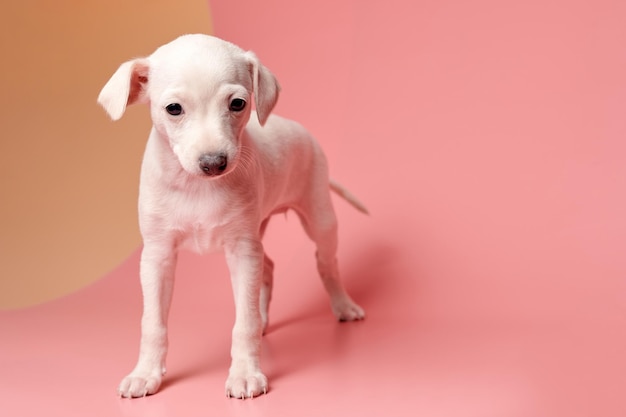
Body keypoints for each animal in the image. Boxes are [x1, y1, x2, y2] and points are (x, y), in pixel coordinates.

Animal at [97, 34, 366, 398]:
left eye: (237, 104)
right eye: (173, 109)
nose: (214, 163)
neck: (197, 187)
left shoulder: (242, 251)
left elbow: (244, 322)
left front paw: (245, 373)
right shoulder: (157, 255)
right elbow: (152, 323)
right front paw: (145, 373)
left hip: (319, 216)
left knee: (326, 263)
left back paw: (343, 306)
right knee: (269, 267)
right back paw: (268, 320)